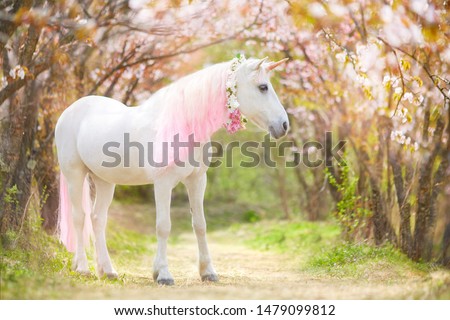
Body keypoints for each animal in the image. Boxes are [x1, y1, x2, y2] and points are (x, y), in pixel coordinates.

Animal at [55, 55, 288, 284]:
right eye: (263, 87)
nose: (284, 125)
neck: (183, 125)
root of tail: (69, 111)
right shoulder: (163, 183)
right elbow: (163, 226)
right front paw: (163, 274)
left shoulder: (197, 181)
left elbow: (200, 225)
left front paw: (207, 272)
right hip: (75, 175)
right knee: (79, 218)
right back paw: (83, 268)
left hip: (105, 180)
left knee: (98, 219)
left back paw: (107, 271)